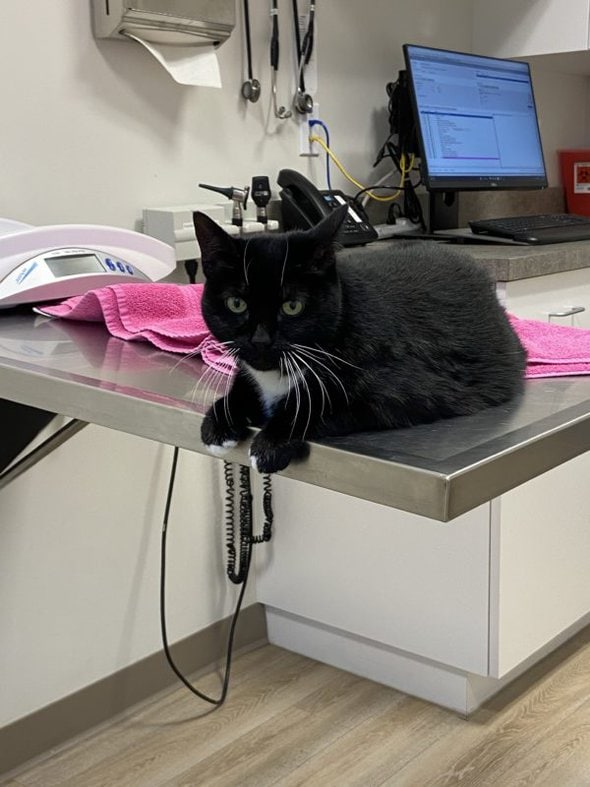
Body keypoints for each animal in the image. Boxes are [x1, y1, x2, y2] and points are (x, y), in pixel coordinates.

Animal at [194, 205, 528, 474]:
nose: (261, 340)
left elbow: (320, 405)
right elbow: (243, 385)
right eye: (236, 303)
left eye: (293, 306)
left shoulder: (403, 389)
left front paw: (272, 443)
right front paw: (221, 419)